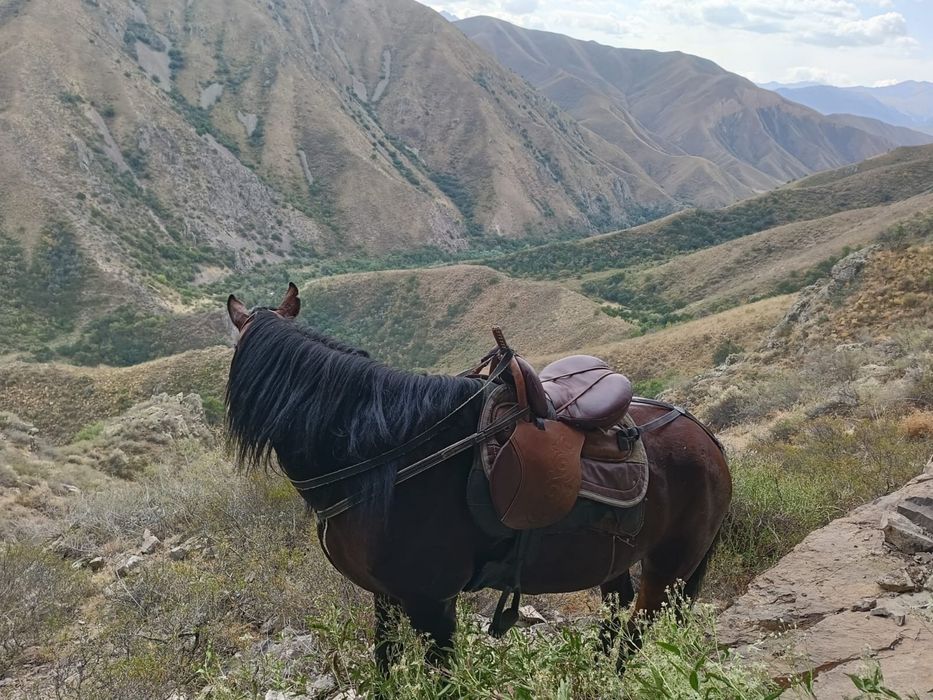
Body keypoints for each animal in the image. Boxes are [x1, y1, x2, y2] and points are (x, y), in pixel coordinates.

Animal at [224, 283, 732, 672]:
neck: (383, 460)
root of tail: (704, 434)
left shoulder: (432, 604)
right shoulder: (386, 598)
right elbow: (385, 665)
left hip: (668, 569)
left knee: (634, 635)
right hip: (615, 560)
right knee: (614, 614)